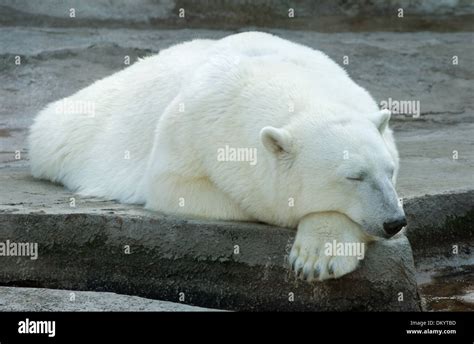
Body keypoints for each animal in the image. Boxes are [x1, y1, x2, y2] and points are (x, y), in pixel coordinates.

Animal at [30, 30, 408, 280]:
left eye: (389, 171)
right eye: (353, 176)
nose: (395, 221)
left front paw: (321, 255)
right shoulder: (192, 127)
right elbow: (178, 185)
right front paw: (318, 253)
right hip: (76, 127)